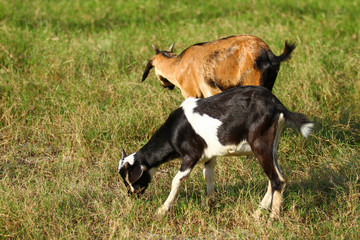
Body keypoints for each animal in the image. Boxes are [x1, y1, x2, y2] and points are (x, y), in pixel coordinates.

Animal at [118, 85, 312, 218]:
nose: (131, 195)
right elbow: (208, 176)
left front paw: (162, 209)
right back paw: (258, 212)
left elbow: (177, 180)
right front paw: (209, 203)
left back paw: (272, 217)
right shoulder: (209, 156)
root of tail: (277, 105)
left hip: (260, 144)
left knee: (276, 179)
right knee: (276, 177)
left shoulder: (191, 155)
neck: (174, 131)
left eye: (130, 179)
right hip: (272, 146)